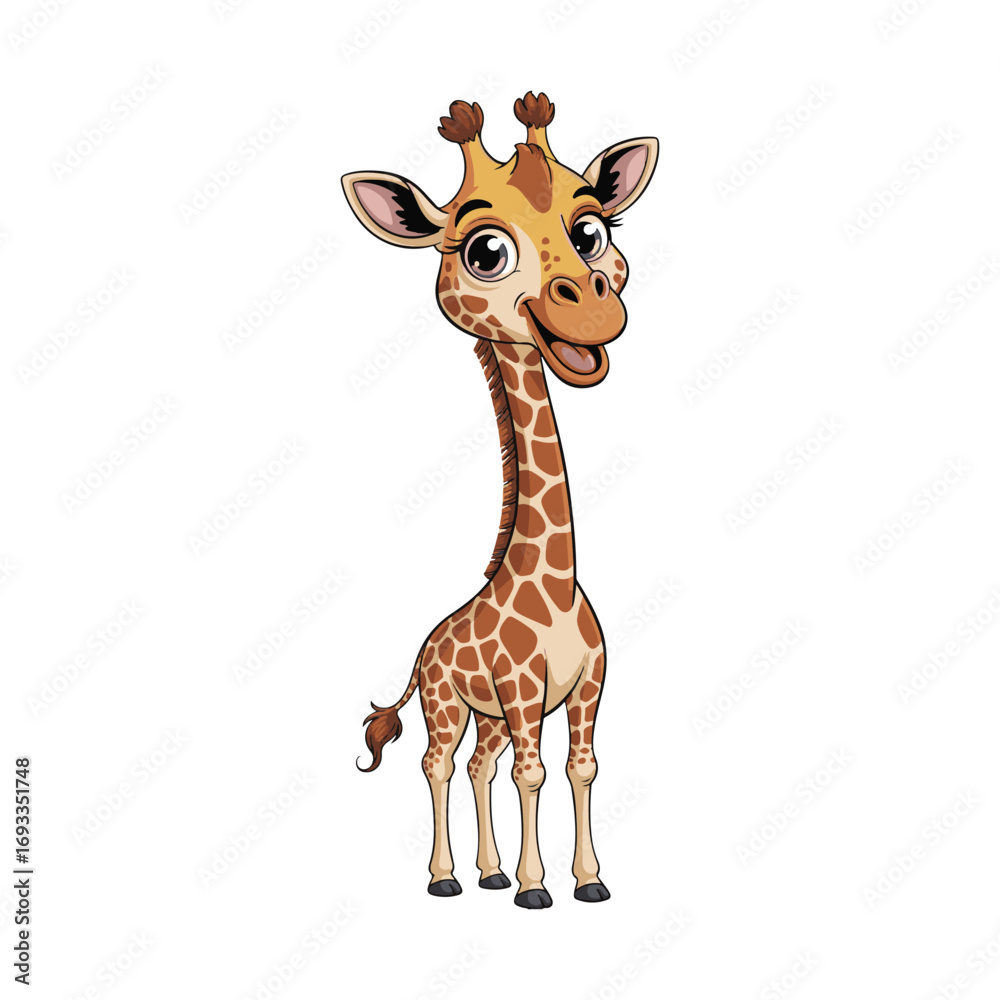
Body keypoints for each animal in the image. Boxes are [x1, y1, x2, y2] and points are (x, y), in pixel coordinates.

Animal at [344, 92, 657, 908]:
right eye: (485, 251)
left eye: (592, 232)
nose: (591, 313)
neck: (552, 587)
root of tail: (424, 649)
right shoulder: (520, 692)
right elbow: (533, 771)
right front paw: (535, 888)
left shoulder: (588, 689)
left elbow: (579, 768)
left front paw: (587, 881)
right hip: (447, 704)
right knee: (439, 764)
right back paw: (447, 877)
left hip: (479, 713)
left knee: (478, 765)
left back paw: (484, 872)